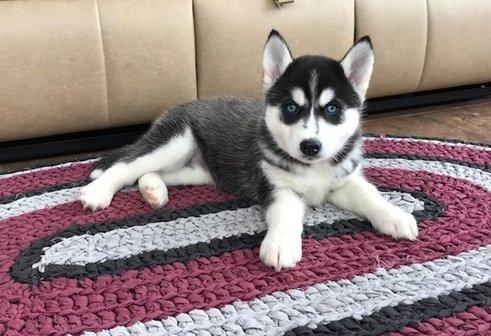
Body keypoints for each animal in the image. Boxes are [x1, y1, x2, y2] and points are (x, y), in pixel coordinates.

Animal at [79, 29, 418, 270]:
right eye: (291, 107)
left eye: (332, 108)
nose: (310, 146)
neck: (312, 170)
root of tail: (176, 108)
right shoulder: (275, 187)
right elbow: (287, 212)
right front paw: (281, 243)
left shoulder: (343, 179)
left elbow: (368, 194)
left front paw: (395, 215)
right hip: (177, 141)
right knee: (126, 166)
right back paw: (98, 192)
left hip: (199, 170)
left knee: (150, 172)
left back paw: (154, 191)